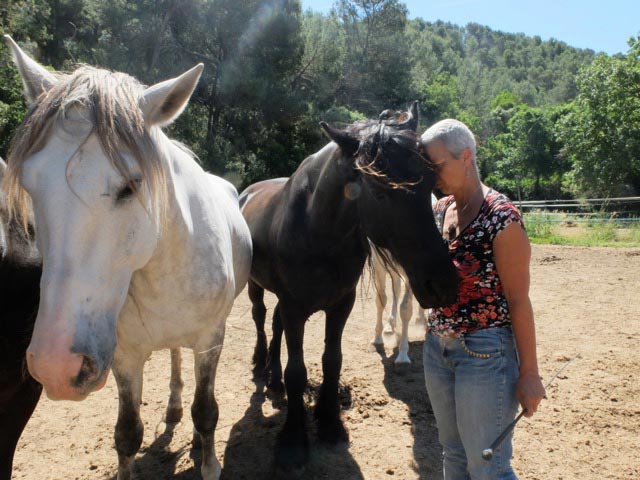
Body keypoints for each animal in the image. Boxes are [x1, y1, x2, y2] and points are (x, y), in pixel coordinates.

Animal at [4, 34, 252, 480]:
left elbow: (206, 412)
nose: (54, 367)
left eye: (131, 185)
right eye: (30, 185)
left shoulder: (211, 340)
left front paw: (208, 461)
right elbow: (127, 434)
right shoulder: (124, 356)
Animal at [372, 193, 438, 366]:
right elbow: (381, 300)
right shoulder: (379, 263)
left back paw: (421, 320)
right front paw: (377, 339)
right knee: (396, 288)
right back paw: (390, 325)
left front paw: (402, 355)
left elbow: (406, 308)